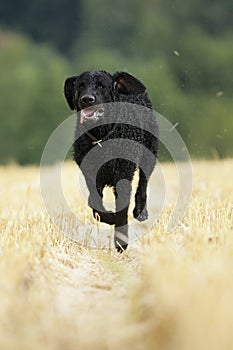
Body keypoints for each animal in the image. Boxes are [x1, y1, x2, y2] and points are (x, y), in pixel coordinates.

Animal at [63, 71, 158, 252]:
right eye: (80, 85)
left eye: (102, 86)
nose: (87, 99)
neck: (101, 137)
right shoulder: (91, 177)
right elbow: (95, 206)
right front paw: (110, 218)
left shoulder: (123, 176)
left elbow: (121, 212)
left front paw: (121, 242)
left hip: (150, 151)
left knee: (143, 183)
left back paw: (141, 211)